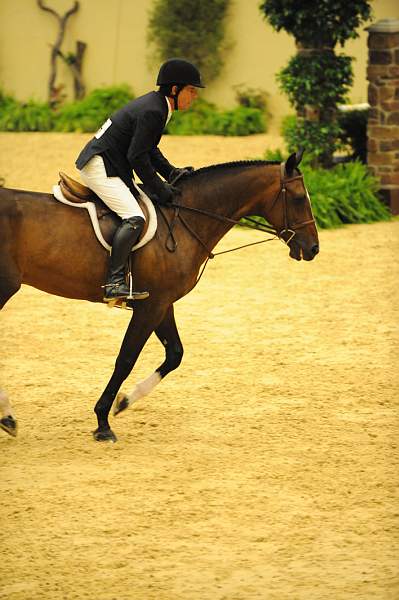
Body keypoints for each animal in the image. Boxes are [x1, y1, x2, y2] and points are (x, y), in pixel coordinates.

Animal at [0, 150, 318, 440]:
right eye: (299, 198)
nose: (314, 248)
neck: (185, 218)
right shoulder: (150, 306)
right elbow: (126, 359)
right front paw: (103, 422)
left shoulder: (163, 304)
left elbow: (175, 354)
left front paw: (124, 402)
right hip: (6, 287)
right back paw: (7, 415)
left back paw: (7, 417)